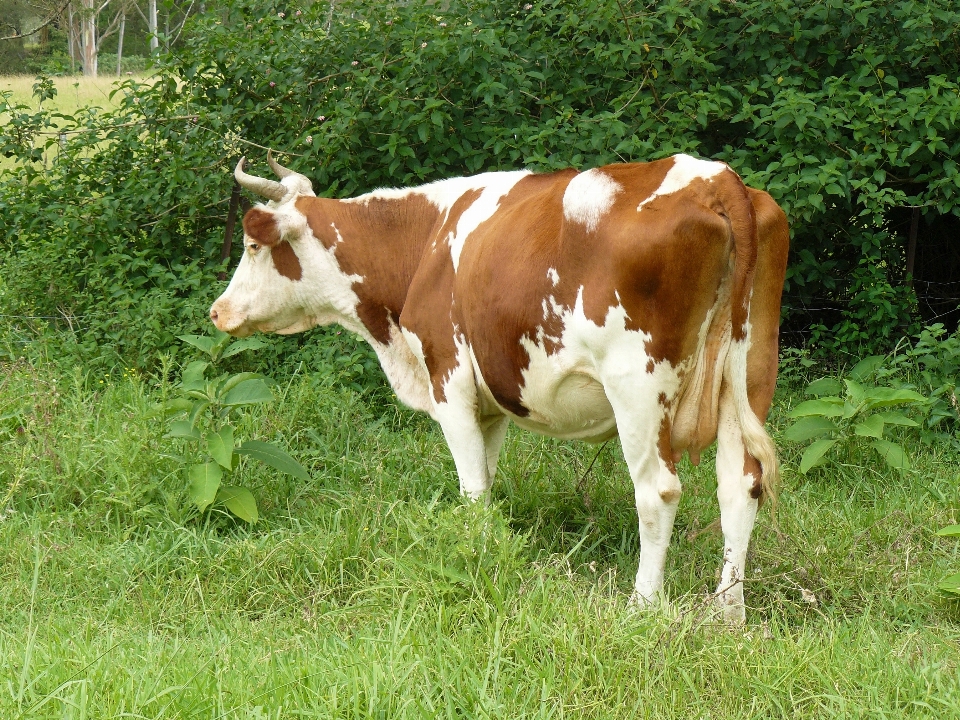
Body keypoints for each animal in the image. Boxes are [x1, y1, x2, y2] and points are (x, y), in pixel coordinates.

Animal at [210, 150, 788, 620]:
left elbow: (472, 487)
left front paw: (476, 561)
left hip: (638, 384)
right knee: (740, 485)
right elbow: (486, 481)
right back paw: (728, 613)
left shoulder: (448, 378)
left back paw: (642, 605)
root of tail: (713, 178)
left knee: (658, 491)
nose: (218, 312)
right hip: (751, 374)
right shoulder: (487, 405)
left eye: (252, 245)